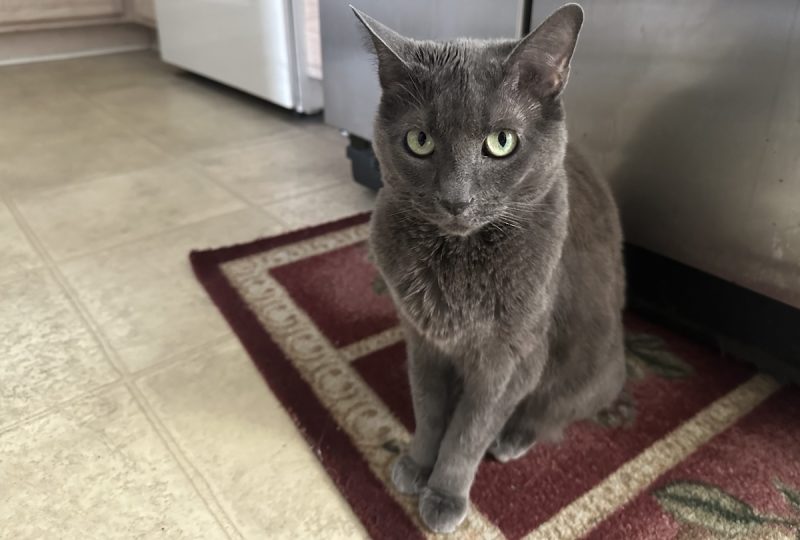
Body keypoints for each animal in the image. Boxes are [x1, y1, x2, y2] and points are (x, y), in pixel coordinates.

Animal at [354, 3, 624, 536]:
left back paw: (514, 438)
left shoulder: (510, 358)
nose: (455, 200)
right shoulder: (422, 341)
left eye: (502, 142)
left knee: (554, 409)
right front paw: (417, 464)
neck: (456, 264)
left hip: (582, 364)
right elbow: (429, 411)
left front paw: (444, 494)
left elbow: (468, 433)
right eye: (419, 140)